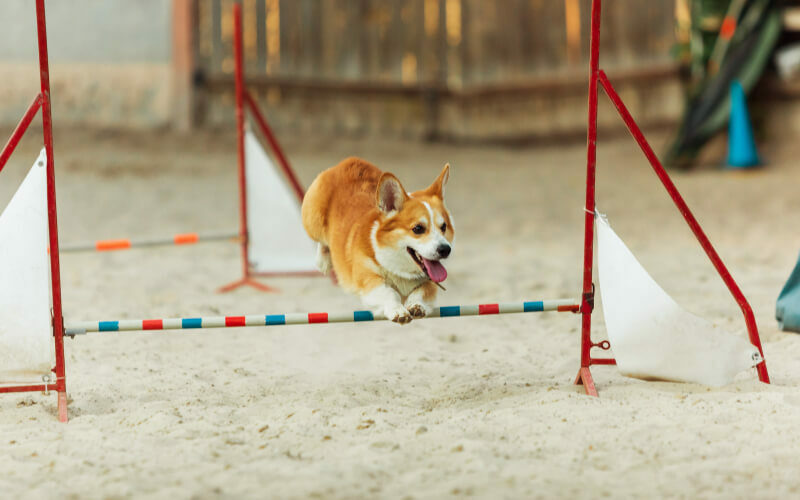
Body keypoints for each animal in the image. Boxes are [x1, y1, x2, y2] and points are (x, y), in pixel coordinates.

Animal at [302, 158, 454, 326]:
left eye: (444, 227)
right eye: (418, 228)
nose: (445, 249)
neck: (400, 270)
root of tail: (348, 161)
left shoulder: (430, 282)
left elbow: (423, 292)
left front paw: (416, 306)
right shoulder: (369, 280)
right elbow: (389, 292)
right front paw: (398, 310)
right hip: (312, 220)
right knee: (320, 240)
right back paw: (323, 261)